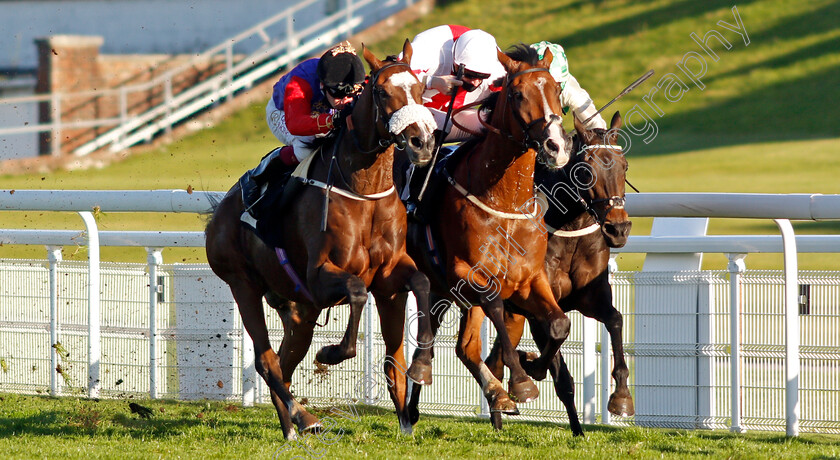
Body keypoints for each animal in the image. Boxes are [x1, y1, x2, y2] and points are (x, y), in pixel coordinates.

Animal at [205, 40, 440, 438]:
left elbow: (421, 284)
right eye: (382, 92)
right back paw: (305, 418)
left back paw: (291, 425)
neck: (365, 191)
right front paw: (331, 353)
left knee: (283, 361)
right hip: (242, 283)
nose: (421, 142)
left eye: (421, 90)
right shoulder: (320, 275)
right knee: (266, 360)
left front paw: (420, 369)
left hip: (300, 308)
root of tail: (218, 214)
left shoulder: (390, 275)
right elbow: (357, 292)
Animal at [402, 44, 576, 416]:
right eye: (517, 94)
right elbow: (496, 306)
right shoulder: (466, 272)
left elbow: (559, 323)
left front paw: (532, 367)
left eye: (556, 90)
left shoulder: (529, 278)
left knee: (463, 347)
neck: (504, 201)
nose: (556, 146)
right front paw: (522, 381)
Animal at [476, 112, 632, 434]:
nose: (618, 228)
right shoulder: (538, 307)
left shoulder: (591, 299)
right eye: (586, 171)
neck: (570, 229)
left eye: (624, 166)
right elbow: (558, 359)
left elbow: (615, 319)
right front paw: (531, 365)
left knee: (493, 359)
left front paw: (620, 398)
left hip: (512, 314)